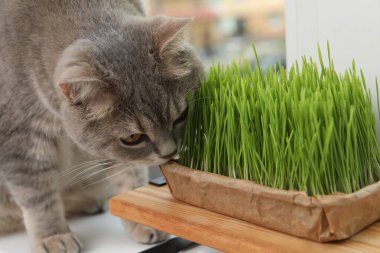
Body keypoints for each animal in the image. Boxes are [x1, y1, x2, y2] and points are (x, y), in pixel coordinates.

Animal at [0, 0, 203, 252]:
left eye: (182, 116)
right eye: (133, 138)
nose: (170, 152)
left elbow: (130, 176)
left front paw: (140, 220)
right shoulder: (20, 140)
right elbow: (38, 196)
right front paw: (53, 236)